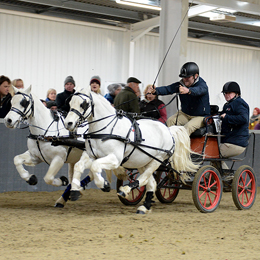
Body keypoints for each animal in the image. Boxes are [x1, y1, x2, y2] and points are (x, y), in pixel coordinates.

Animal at [64, 86, 197, 214]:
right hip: (143, 162)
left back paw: (125, 190)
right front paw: (74, 191)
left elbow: (95, 166)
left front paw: (104, 185)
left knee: (144, 178)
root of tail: (169, 130)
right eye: (70, 102)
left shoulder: (115, 159)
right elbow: (79, 166)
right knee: (151, 183)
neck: (106, 129)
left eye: (83, 104)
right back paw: (144, 207)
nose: (68, 123)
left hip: (157, 160)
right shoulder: (91, 155)